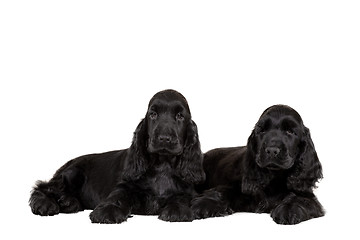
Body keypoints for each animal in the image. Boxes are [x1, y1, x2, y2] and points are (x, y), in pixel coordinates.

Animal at [29, 89, 204, 223]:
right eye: (153, 114)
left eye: (180, 116)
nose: (164, 138)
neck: (163, 164)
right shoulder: (126, 185)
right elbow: (118, 196)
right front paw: (108, 211)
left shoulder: (188, 191)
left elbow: (182, 197)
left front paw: (177, 210)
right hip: (72, 174)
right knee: (43, 187)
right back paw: (45, 204)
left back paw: (68, 202)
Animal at [193, 105, 324, 225]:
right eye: (262, 130)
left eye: (290, 131)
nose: (272, 150)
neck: (274, 177)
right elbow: (224, 190)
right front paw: (204, 204)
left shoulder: (308, 195)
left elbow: (300, 198)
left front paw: (288, 209)